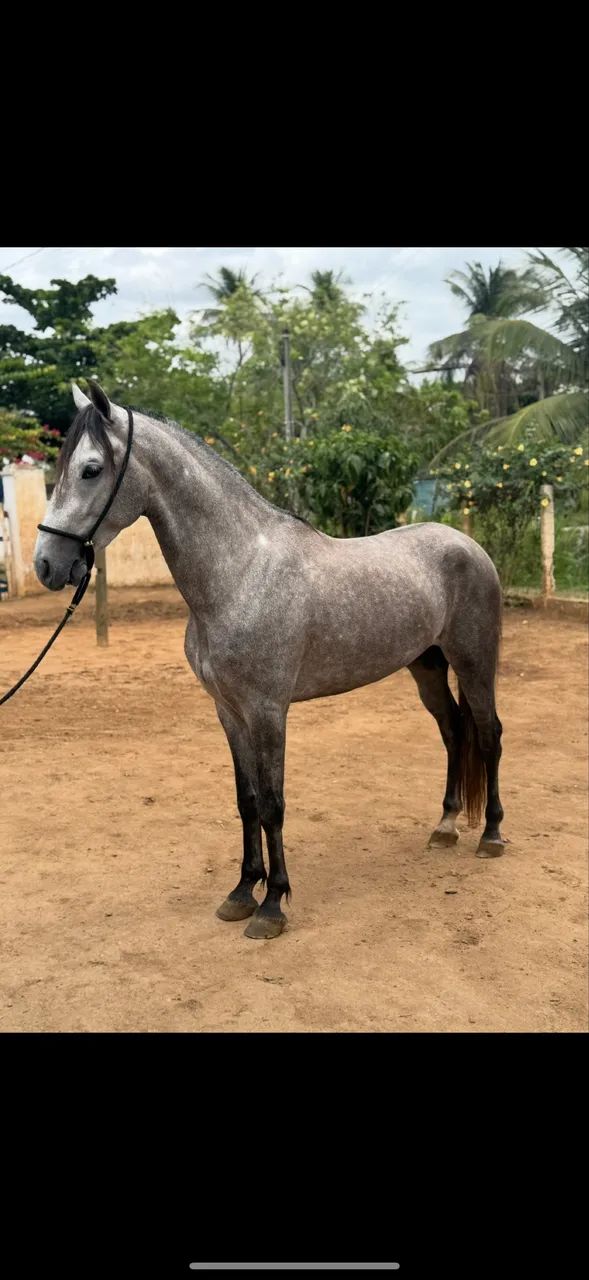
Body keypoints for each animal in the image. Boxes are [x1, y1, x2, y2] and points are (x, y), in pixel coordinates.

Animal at [34, 381, 506, 940]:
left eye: (90, 469)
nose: (46, 564)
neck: (240, 573)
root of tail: (468, 544)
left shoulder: (267, 710)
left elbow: (274, 803)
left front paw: (273, 904)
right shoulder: (229, 711)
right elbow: (248, 801)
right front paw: (242, 892)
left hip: (475, 662)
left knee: (489, 735)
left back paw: (491, 836)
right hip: (427, 668)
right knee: (454, 732)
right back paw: (446, 826)